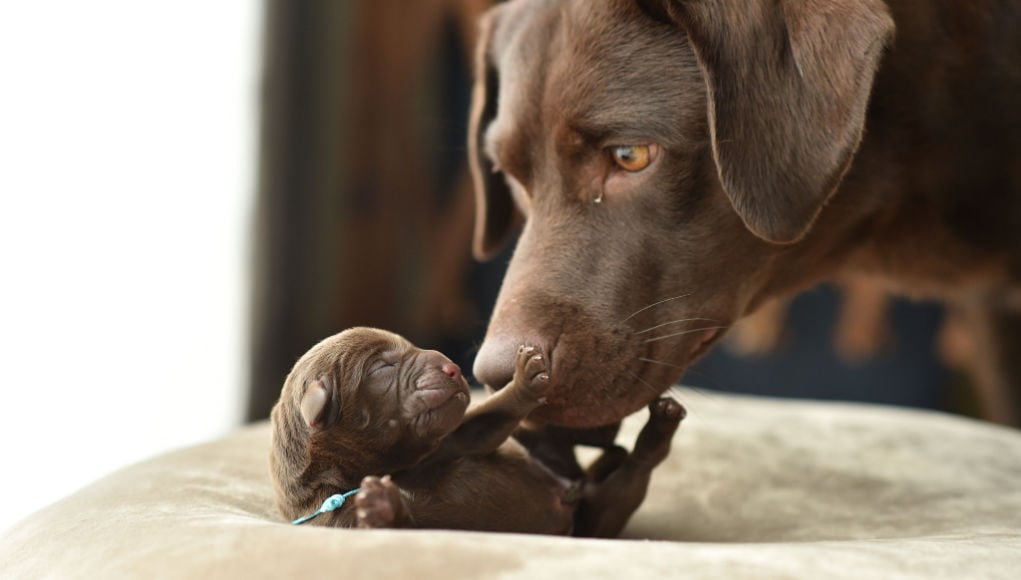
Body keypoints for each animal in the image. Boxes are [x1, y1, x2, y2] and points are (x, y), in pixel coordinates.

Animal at [269, 328, 686, 535]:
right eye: (381, 367)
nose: (452, 367)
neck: (396, 468)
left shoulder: (449, 442)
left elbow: (488, 422)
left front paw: (524, 380)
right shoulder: (338, 522)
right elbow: (409, 527)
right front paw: (383, 505)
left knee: (634, 464)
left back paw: (658, 424)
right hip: (601, 514)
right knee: (633, 474)